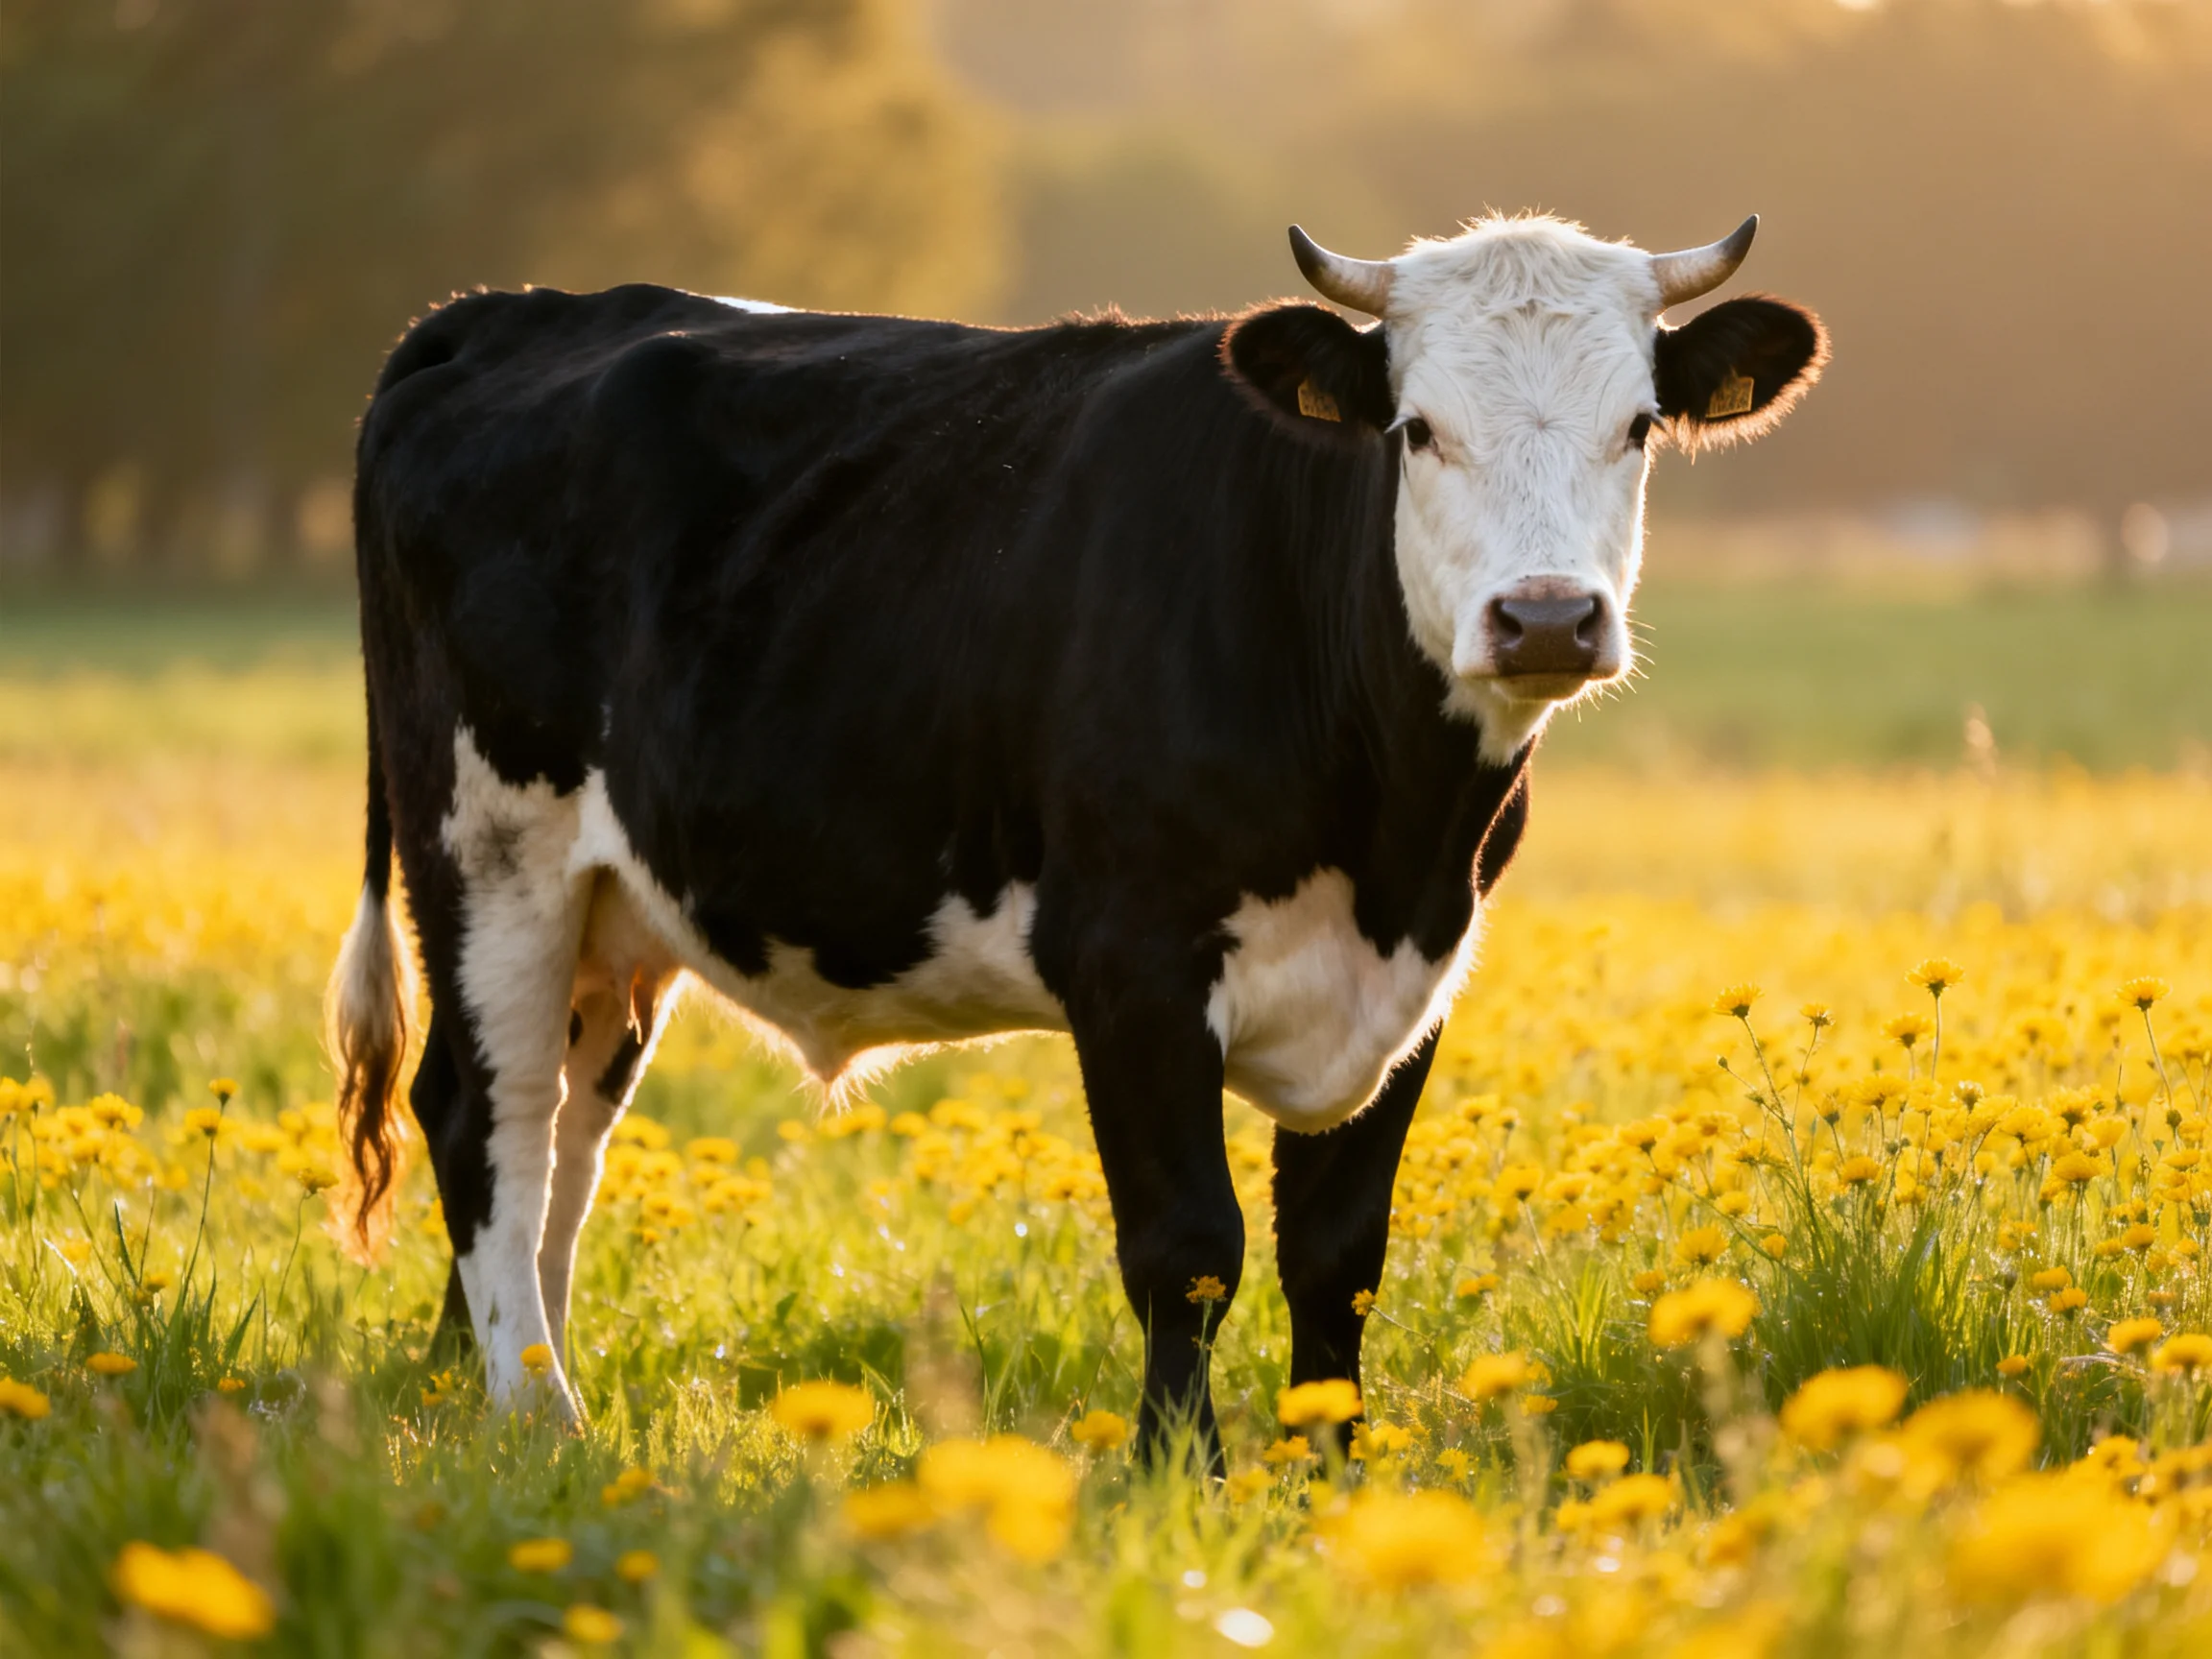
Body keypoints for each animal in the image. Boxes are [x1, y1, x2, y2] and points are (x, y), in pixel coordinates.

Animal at [329, 211, 1825, 1460]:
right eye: (1415, 430)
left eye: (1638, 426)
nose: (1547, 617)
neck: (1391, 828)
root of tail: (509, 308)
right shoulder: (1133, 961)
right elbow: (1189, 1247)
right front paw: (1181, 1477)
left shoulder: (1419, 975)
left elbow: (1338, 1253)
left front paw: (1333, 1477)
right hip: (487, 857)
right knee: (483, 1116)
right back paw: (541, 1416)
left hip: (612, 912)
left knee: (562, 1139)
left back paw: (497, 1384)